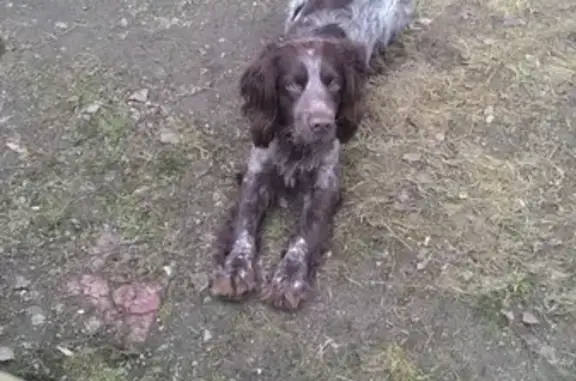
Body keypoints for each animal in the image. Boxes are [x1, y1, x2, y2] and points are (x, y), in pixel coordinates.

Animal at [210, 0, 414, 308]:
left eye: (335, 83)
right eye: (292, 84)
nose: (323, 124)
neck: (296, 146)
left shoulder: (325, 184)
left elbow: (304, 236)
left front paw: (289, 278)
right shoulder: (256, 173)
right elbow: (244, 227)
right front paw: (236, 269)